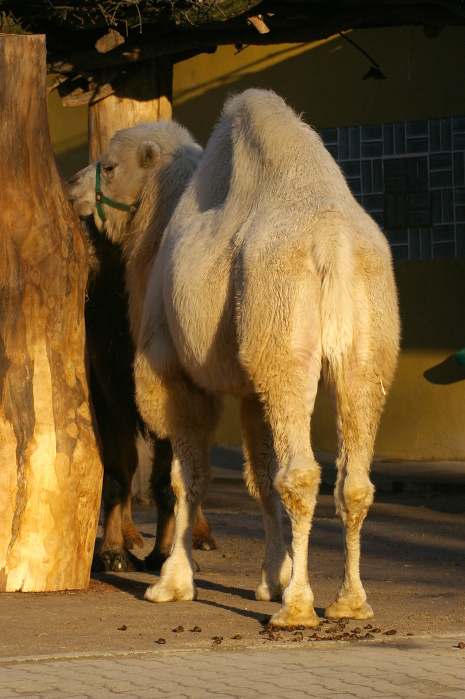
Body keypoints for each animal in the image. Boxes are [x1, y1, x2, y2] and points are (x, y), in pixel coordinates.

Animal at [68, 89, 398, 628]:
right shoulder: (249, 388)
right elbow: (260, 478)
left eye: (110, 166)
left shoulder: (174, 371)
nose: (73, 186)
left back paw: (297, 609)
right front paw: (270, 577)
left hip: (282, 332)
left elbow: (185, 479)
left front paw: (172, 581)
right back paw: (350, 603)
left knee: (301, 474)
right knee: (353, 479)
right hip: (366, 348)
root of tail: (333, 247)